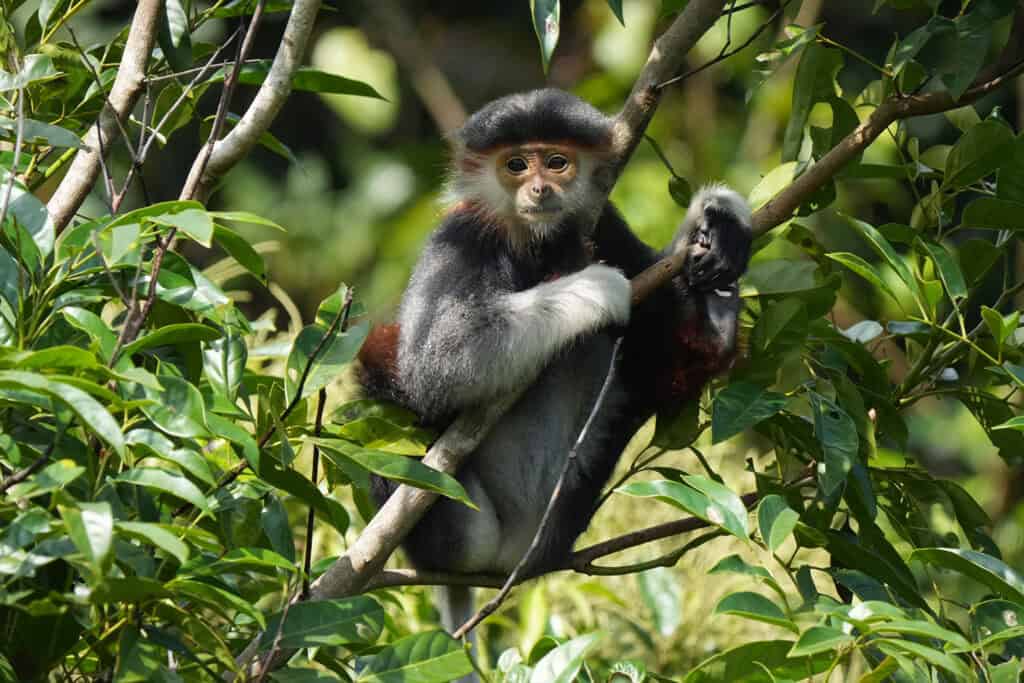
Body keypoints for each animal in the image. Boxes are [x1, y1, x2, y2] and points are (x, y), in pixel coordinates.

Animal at [358, 88, 751, 638]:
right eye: (516, 165)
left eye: (557, 162)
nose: (540, 188)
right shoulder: (462, 232)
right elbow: (432, 367)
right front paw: (594, 289)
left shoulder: (603, 221)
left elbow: (668, 328)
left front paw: (717, 220)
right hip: (461, 530)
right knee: (377, 390)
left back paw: (717, 315)